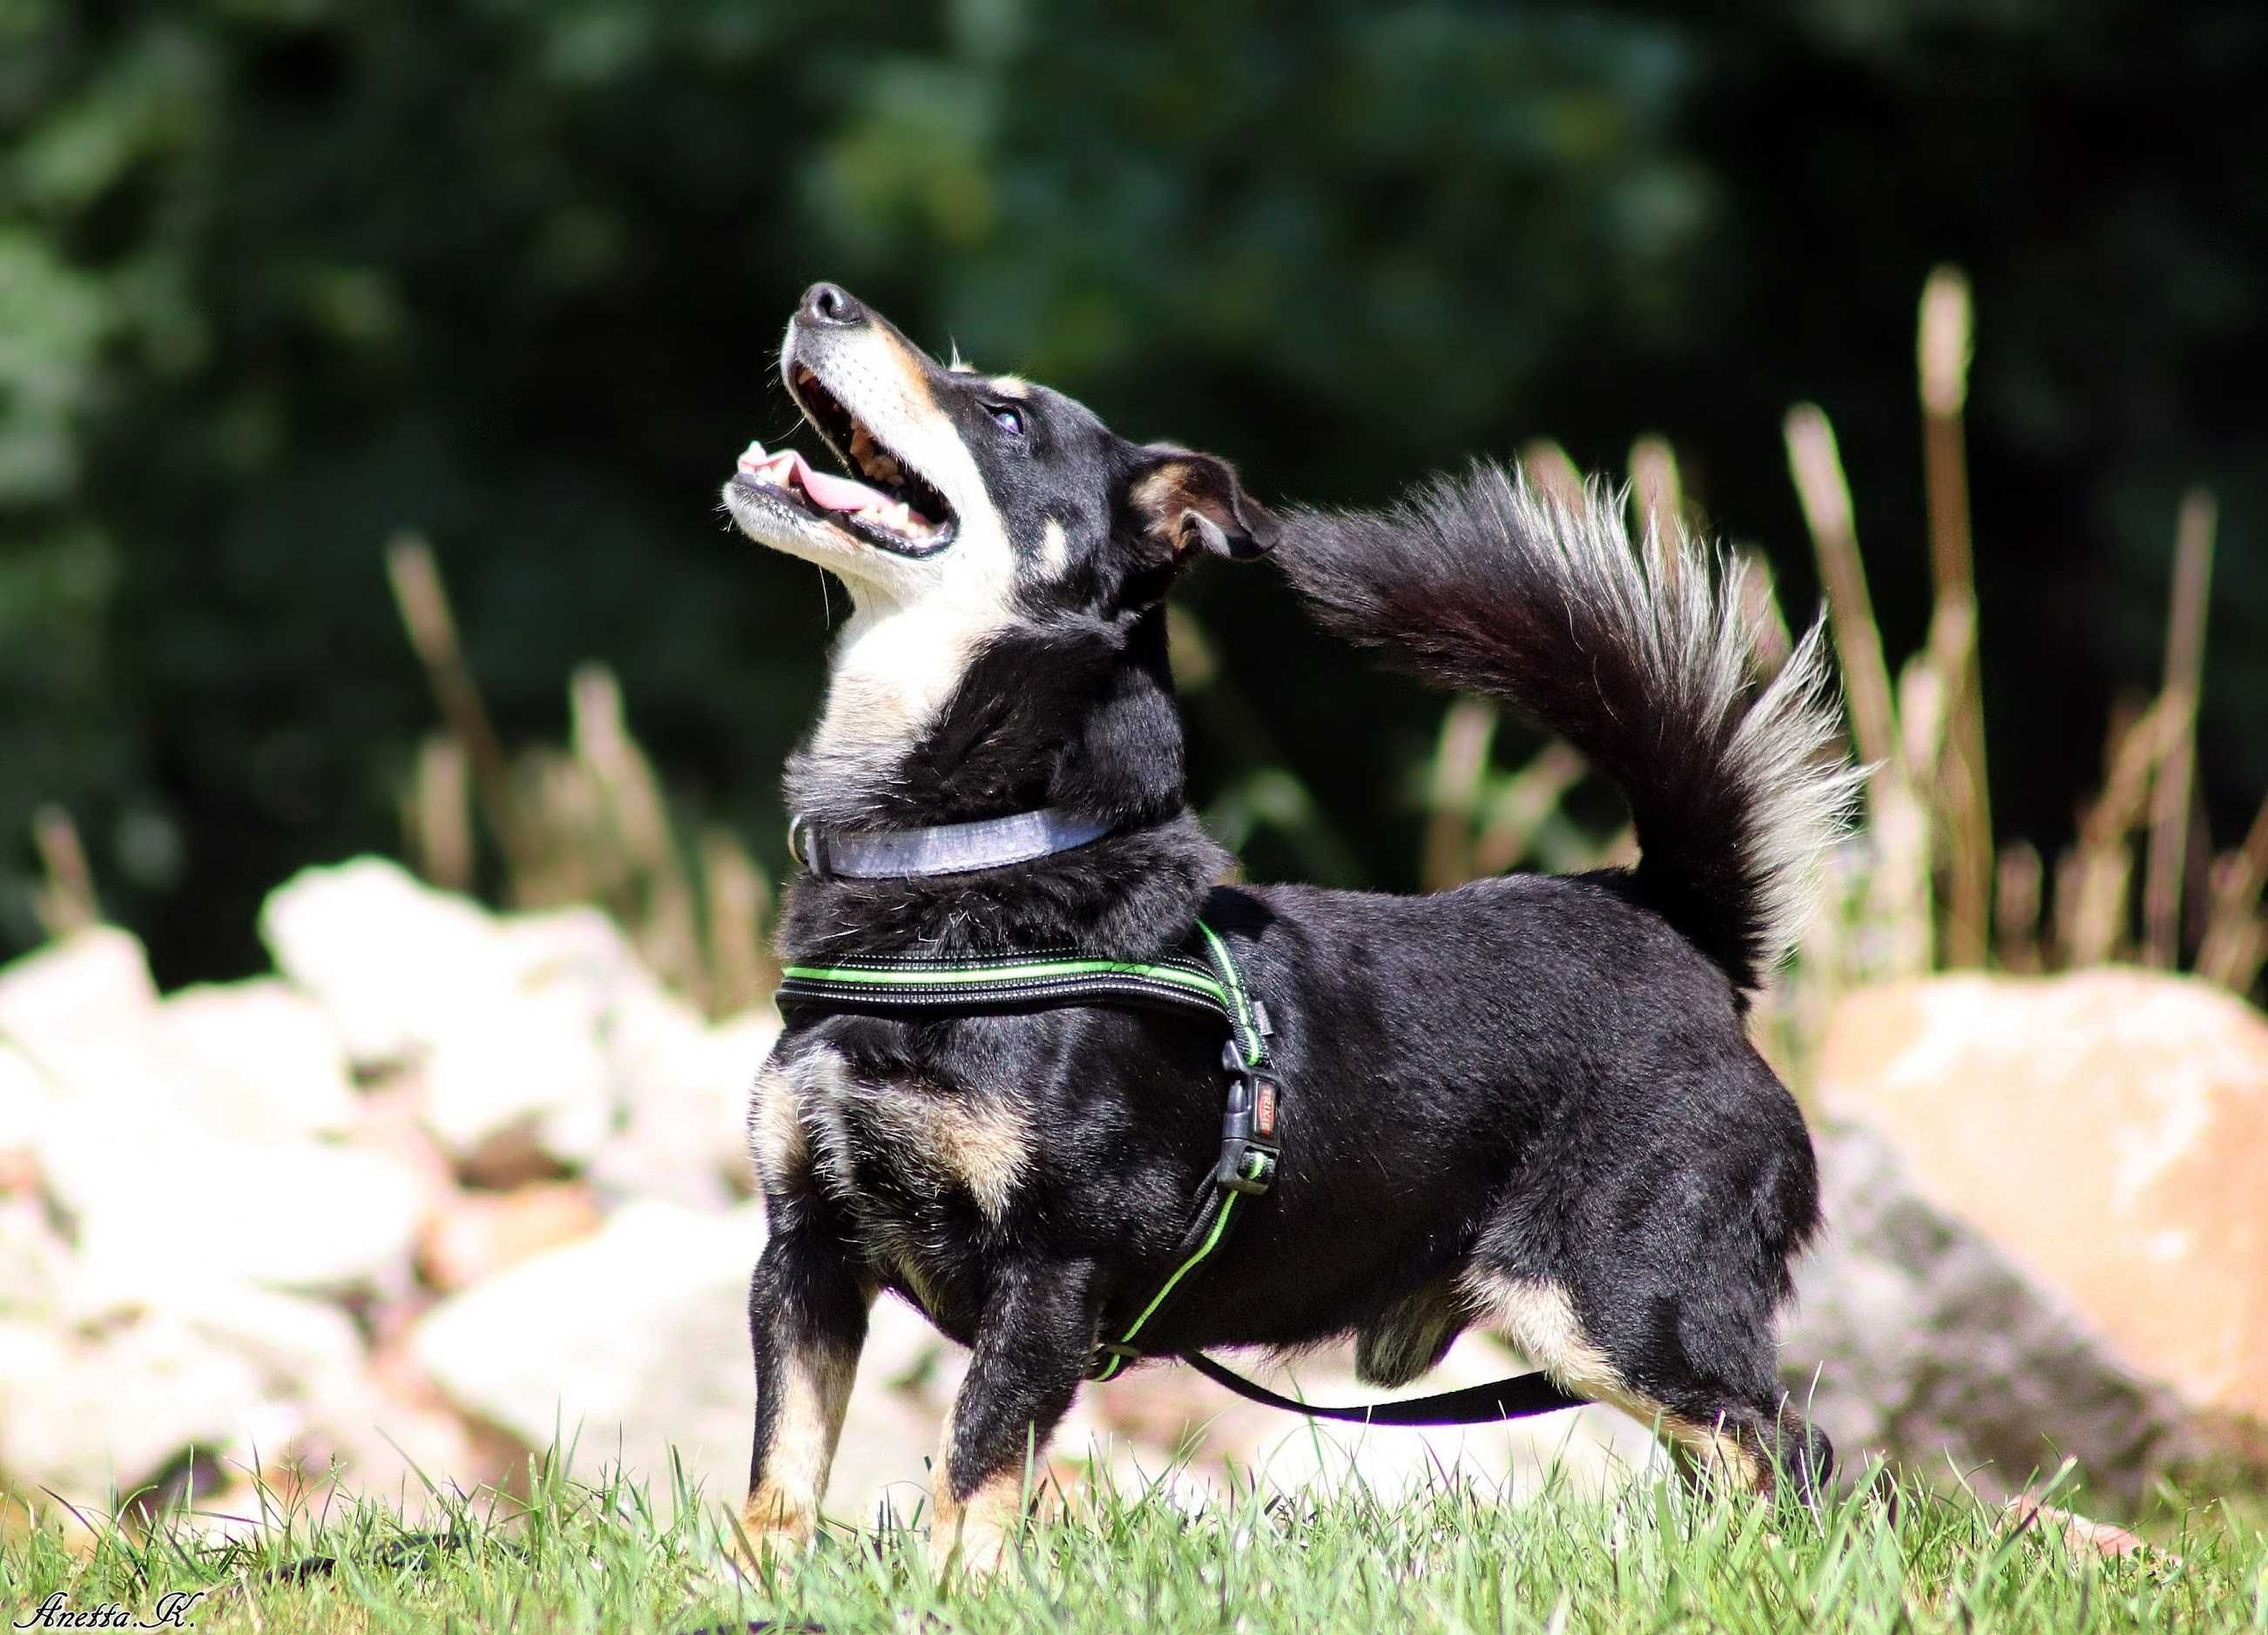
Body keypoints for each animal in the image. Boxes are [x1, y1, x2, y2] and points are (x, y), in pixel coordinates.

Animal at [716, 283, 1850, 1569]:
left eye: (1006, 417)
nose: (824, 299)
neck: (967, 863)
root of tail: (1678, 926)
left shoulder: (1049, 1269)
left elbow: (976, 1462)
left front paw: (955, 1585)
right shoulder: (802, 1253)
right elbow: (779, 1475)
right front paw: (754, 1583)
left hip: (1622, 1302)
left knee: (1784, 1448)